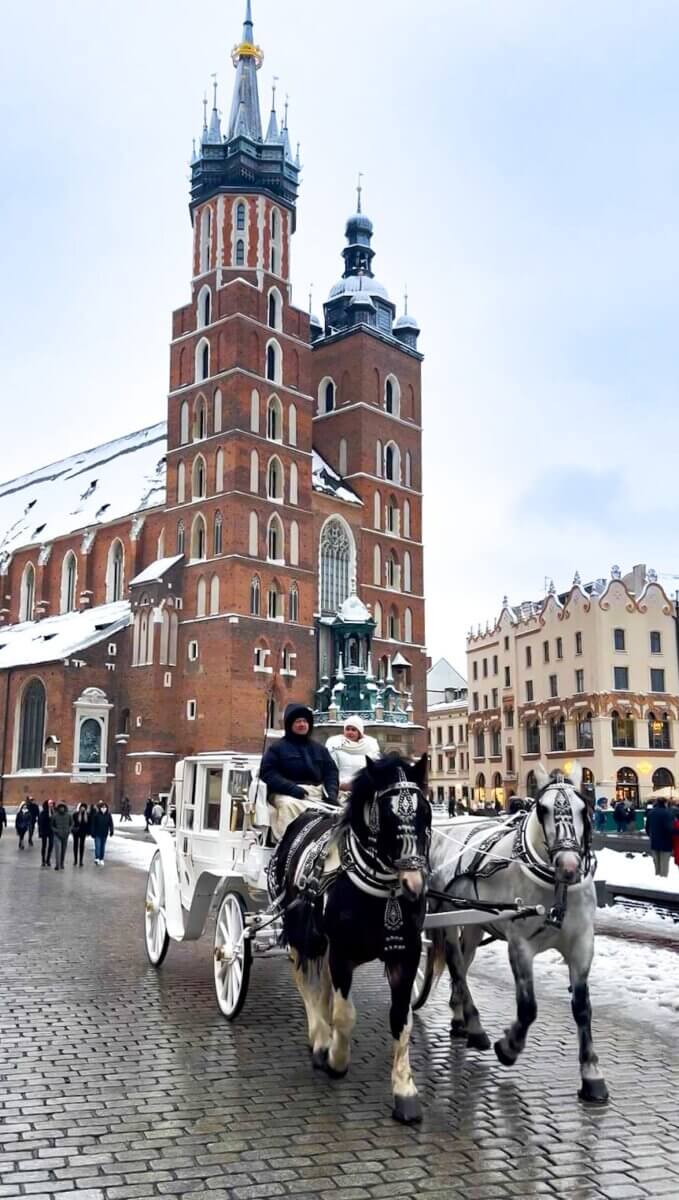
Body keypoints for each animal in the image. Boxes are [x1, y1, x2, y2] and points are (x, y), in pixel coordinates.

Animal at [269, 752, 432, 1123]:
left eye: (426, 812)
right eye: (387, 815)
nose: (414, 885)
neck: (383, 891)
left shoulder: (406, 954)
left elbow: (401, 1018)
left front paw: (404, 1090)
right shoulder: (341, 952)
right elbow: (346, 1015)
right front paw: (336, 1059)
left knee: (322, 986)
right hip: (301, 931)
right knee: (305, 981)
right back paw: (319, 1039)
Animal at [428, 761, 609, 1105]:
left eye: (584, 808)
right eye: (542, 808)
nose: (568, 865)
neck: (556, 888)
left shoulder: (582, 943)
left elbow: (582, 1007)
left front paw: (592, 1074)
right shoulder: (520, 945)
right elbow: (528, 1007)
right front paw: (509, 1047)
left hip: (474, 920)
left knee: (464, 964)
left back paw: (460, 1017)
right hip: (446, 915)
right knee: (457, 965)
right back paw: (475, 1026)